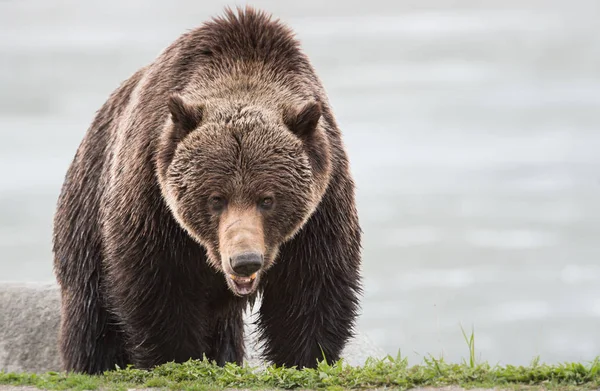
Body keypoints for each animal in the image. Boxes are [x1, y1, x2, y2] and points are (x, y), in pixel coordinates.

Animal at [52, 6, 360, 374]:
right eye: (216, 198)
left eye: (267, 199)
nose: (244, 260)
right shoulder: (152, 200)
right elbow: (158, 289)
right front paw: (175, 357)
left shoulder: (322, 206)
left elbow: (309, 290)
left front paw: (303, 358)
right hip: (87, 224)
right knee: (91, 321)